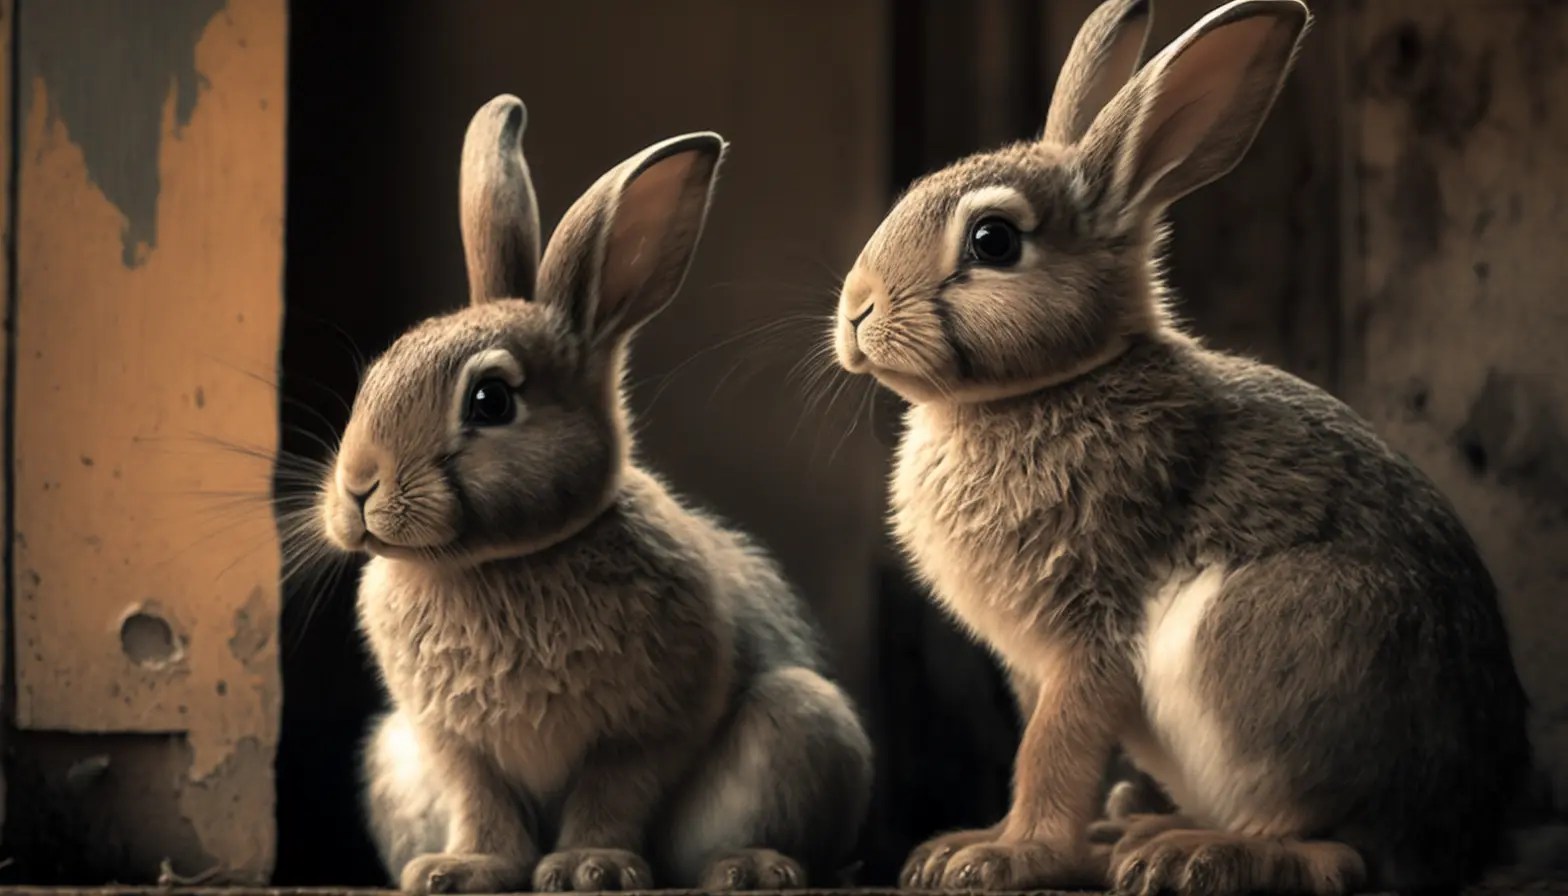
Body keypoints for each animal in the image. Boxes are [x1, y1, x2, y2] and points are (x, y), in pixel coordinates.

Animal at [317, 95, 873, 894]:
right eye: (377, 374)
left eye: (490, 400)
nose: (359, 488)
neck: (503, 561)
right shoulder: (451, 744)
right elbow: (482, 804)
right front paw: (464, 870)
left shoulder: (646, 729)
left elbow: (611, 797)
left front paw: (591, 868)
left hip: (800, 724)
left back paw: (749, 869)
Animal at [830, 0, 1533, 893]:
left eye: (992, 240)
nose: (856, 309)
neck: (1050, 384)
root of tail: (1465, 832)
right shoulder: (1035, 664)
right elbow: (1046, 753)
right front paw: (979, 845)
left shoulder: (1086, 633)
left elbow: (1053, 753)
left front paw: (1003, 856)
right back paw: (1132, 831)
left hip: (1270, 649)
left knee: (1338, 849)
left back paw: (1193, 853)